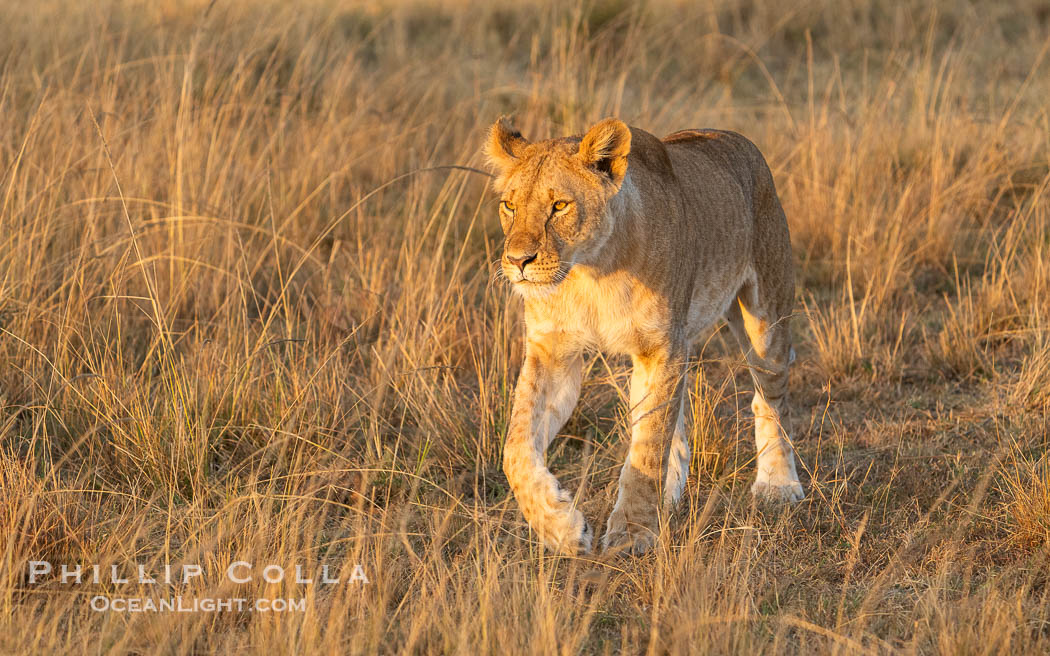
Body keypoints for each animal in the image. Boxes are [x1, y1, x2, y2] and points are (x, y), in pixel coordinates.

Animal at [485, 116, 804, 556]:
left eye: (559, 206)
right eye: (510, 206)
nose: (517, 261)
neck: (589, 273)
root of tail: (734, 137)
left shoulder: (661, 348)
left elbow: (648, 450)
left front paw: (633, 532)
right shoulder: (554, 351)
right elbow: (516, 447)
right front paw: (560, 527)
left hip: (765, 322)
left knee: (769, 400)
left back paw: (778, 485)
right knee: (676, 429)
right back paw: (667, 498)